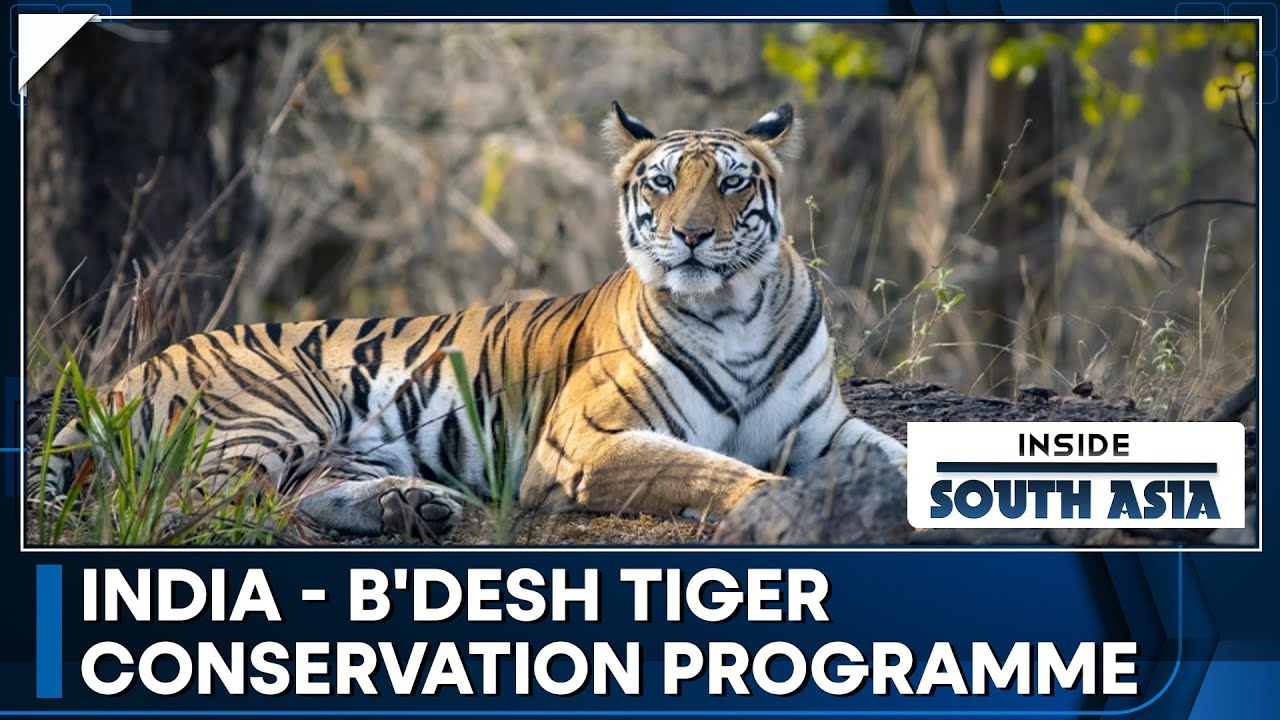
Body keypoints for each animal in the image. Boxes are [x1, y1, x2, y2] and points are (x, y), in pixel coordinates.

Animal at [29, 101, 907, 543]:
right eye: (661, 183)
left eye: (730, 183)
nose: (690, 235)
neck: (736, 309)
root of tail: (127, 374)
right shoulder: (585, 443)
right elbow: (712, 469)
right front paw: (783, 506)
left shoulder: (826, 428)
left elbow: (898, 454)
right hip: (277, 407)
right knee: (200, 503)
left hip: (337, 444)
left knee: (294, 492)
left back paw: (408, 508)